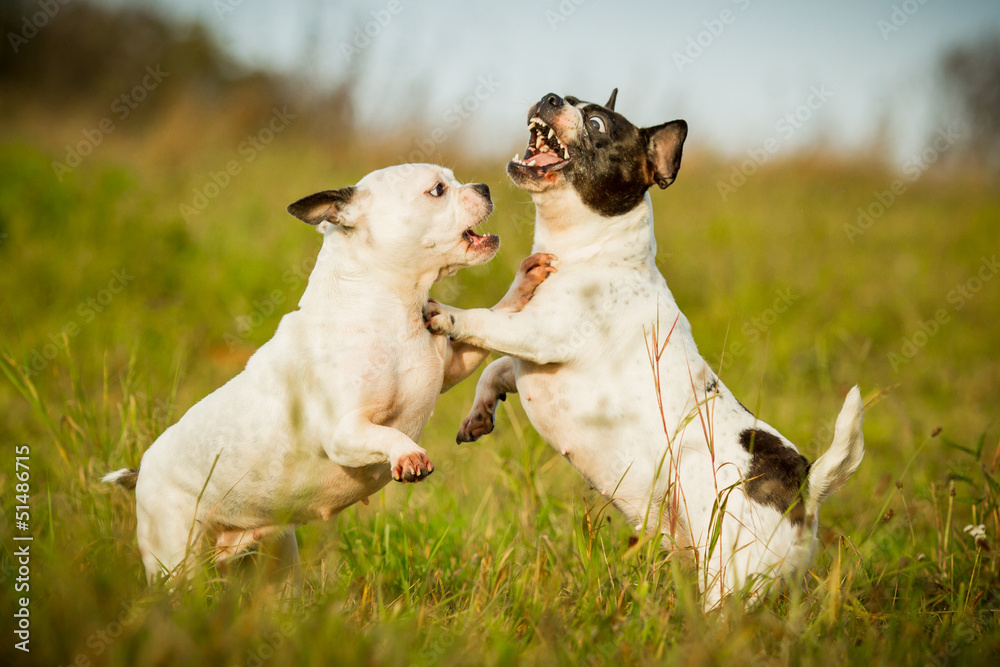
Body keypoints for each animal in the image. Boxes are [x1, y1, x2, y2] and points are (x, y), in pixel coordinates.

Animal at [104, 164, 556, 588]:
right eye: (438, 190)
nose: (484, 186)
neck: (389, 311)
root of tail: (142, 471)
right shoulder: (345, 434)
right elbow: (385, 434)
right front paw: (408, 454)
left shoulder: (452, 365)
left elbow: (489, 320)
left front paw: (524, 283)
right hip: (176, 559)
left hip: (274, 561)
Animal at [426, 91, 864, 608]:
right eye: (568, 99)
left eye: (597, 123)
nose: (551, 97)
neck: (593, 251)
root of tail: (807, 489)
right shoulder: (527, 354)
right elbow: (494, 369)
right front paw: (480, 412)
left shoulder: (540, 334)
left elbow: (483, 323)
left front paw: (445, 313)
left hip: (729, 576)